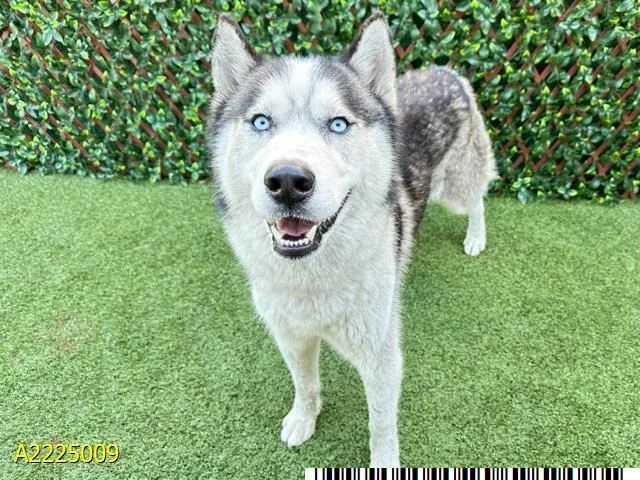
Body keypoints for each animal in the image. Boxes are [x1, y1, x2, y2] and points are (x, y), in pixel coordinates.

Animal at [207, 11, 496, 466]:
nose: (287, 181)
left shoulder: (381, 354)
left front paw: (384, 464)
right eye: (260, 122)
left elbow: (380, 423)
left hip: (456, 185)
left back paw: (475, 238)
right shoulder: (291, 337)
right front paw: (304, 419)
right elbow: (305, 384)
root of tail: (445, 70)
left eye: (339, 124)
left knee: (478, 199)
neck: (311, 278)